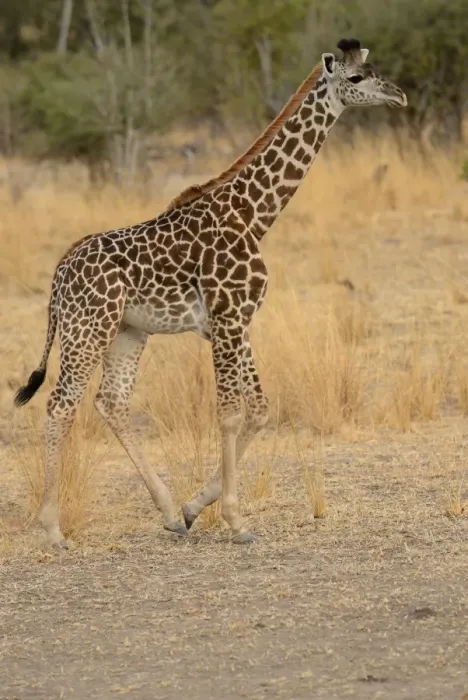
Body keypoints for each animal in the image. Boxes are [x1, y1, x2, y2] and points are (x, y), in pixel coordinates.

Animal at [15, 39, 407, 548]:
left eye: (374, 69)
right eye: (356, 78)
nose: (398, 95)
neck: (254, 214)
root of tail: (58, 278)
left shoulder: (236, 321)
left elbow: (259, 410)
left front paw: (193, 507)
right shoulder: (227, 319)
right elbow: (230, 413)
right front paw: (236, 521)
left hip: (127, 332)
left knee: (111, 401)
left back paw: (166, 511)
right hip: (88, 328)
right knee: (61, 404)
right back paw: (52, 528)